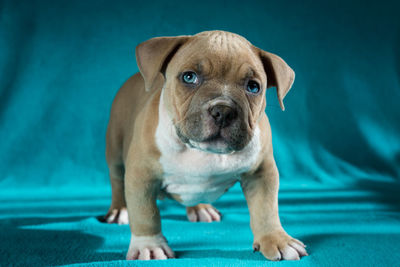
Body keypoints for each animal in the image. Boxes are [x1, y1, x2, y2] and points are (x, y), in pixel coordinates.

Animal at [104, 30, 308, 262]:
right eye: (189, 77)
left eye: (253, 87)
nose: (223, 111)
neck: (200, 151)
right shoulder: (141, 175)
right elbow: (145, 213)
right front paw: (149, 245)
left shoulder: (261, 173)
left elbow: (266, 209)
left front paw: (277, 239)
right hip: (115, 150)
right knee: (117, 180)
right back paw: (119, 210)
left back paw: (200, 207)